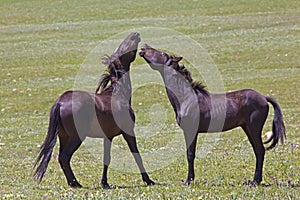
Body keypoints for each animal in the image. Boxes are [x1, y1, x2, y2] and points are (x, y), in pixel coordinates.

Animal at [33, 32, 155, 189]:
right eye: (123, 48)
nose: (136, 34)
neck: (118, 93)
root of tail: (60, 102)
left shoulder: (108, 136)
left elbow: (107, 158)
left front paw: (105, 183)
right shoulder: (128, 132)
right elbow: (137, 155)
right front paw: (148, 180)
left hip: (64, 136)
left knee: (61, 158)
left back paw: (72, 183)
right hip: (76, 137)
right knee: (64, 157)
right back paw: (76, 183)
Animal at [141, 43, 286, 186]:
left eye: (162, 54)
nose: (143, 47)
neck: (186, 98)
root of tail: (264, 98)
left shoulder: (191, 131)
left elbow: (190, 155)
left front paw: (188, 181)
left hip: (254, 128)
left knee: (260, 150)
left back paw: (255, 181)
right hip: (247, 128)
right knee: (257, 150)